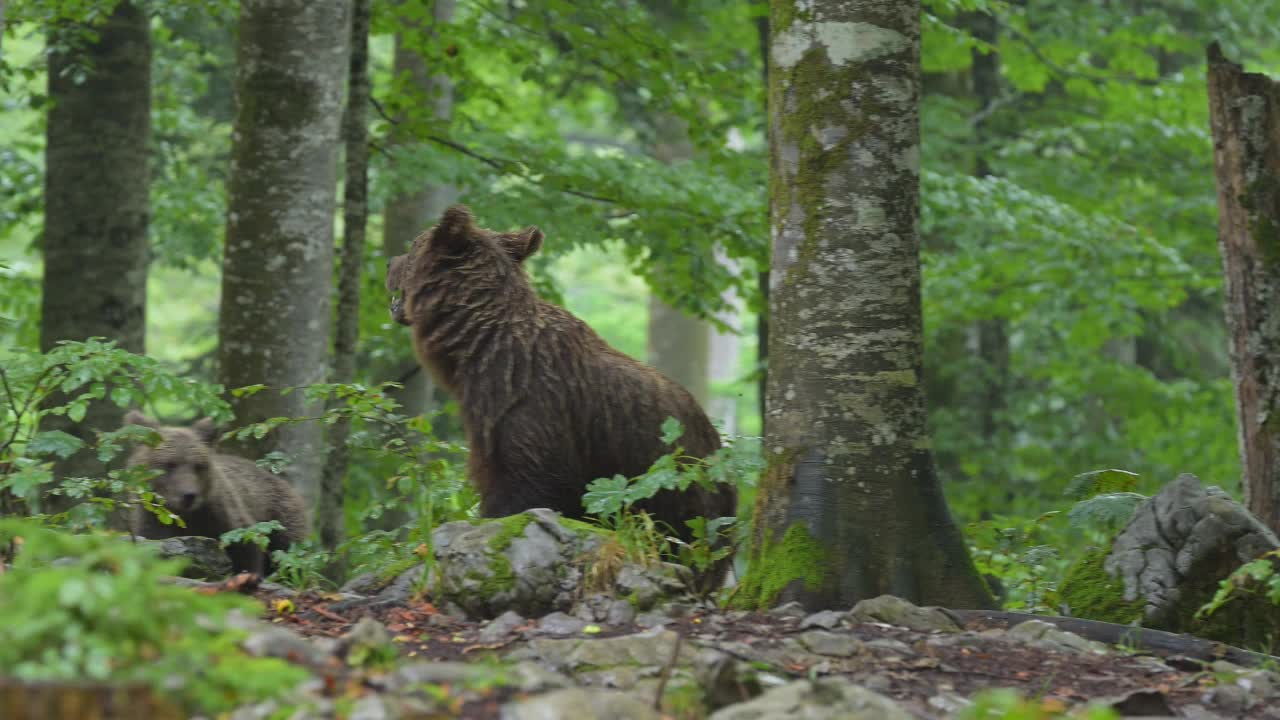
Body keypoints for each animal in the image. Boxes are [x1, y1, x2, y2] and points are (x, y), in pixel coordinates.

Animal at [121, 412, 309, 573]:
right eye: (169, 464)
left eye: (198, 466)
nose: (189, 495)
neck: (184, 517)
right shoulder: (153, 524)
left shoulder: (223, 518)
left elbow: (247, 547)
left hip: (280, 516)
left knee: (288, 550)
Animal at [384, 202, 737, 584]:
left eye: (414, 245)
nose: (388, 262)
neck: (480, 348)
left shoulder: (534, 410)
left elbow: (525, 491)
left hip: (677, 489)